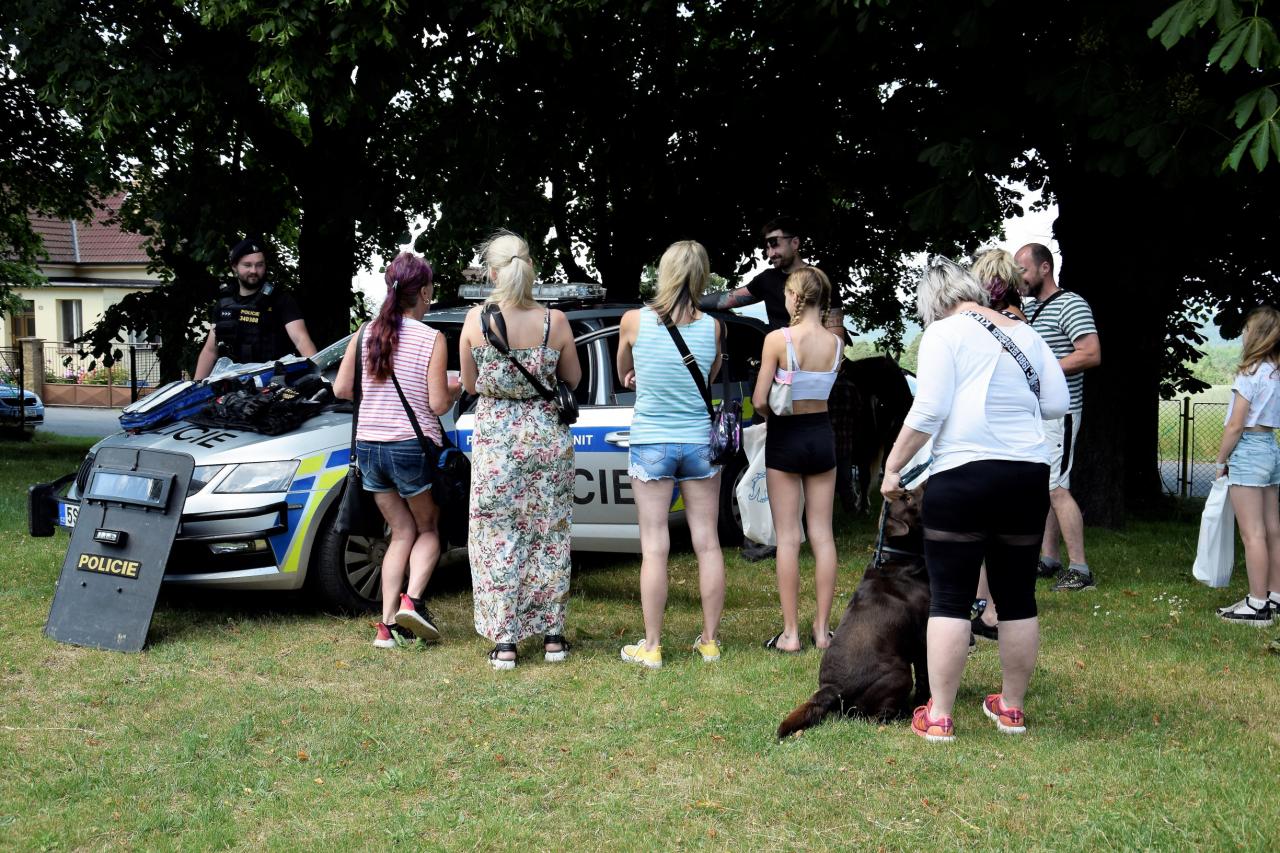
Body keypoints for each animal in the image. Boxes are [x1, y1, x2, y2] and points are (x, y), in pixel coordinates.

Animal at [777, 485, 930, 739]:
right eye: (908, 498)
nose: (927, 482)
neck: (898, 559)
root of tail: (831, 688)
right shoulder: (922, 639)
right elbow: (926, 676)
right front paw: (924, 702)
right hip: (900, 673)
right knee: (875, 716)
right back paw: (902, 713)